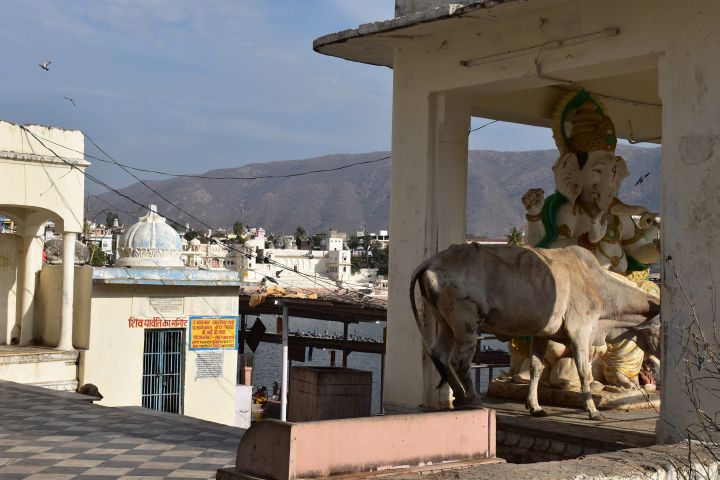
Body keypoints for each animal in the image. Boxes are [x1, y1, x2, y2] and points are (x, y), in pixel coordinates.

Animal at [410, 244, 660, 420]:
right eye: (660, 329)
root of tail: (431, 261)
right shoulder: (581, 331)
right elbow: (584, 372)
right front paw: (593, 410)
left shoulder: (542, 334)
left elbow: (536, 368)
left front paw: (535, 407)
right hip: (466, 323)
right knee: (460, 361)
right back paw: (472, 400)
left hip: (444, 322)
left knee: (439, 353)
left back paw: (460, 397)